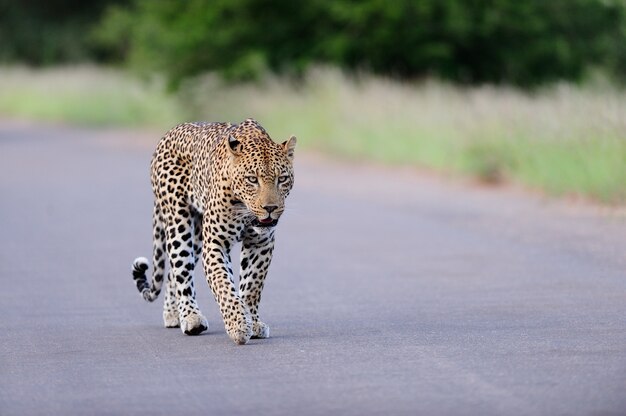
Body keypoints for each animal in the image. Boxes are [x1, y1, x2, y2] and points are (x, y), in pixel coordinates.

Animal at [130, 118, 294, 344]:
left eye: (282, 179)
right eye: (252, 179)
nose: (270, 208)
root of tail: (168, 134)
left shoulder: (261, 243)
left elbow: (252, 285)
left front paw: (253, 322)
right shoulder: (216, 244)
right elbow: (223, 285)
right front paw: (238, 325)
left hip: (197, 236)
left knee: (173, 271)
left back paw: (173, 314)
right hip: (179, 222)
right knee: (181, 269)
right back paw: (191, 318)